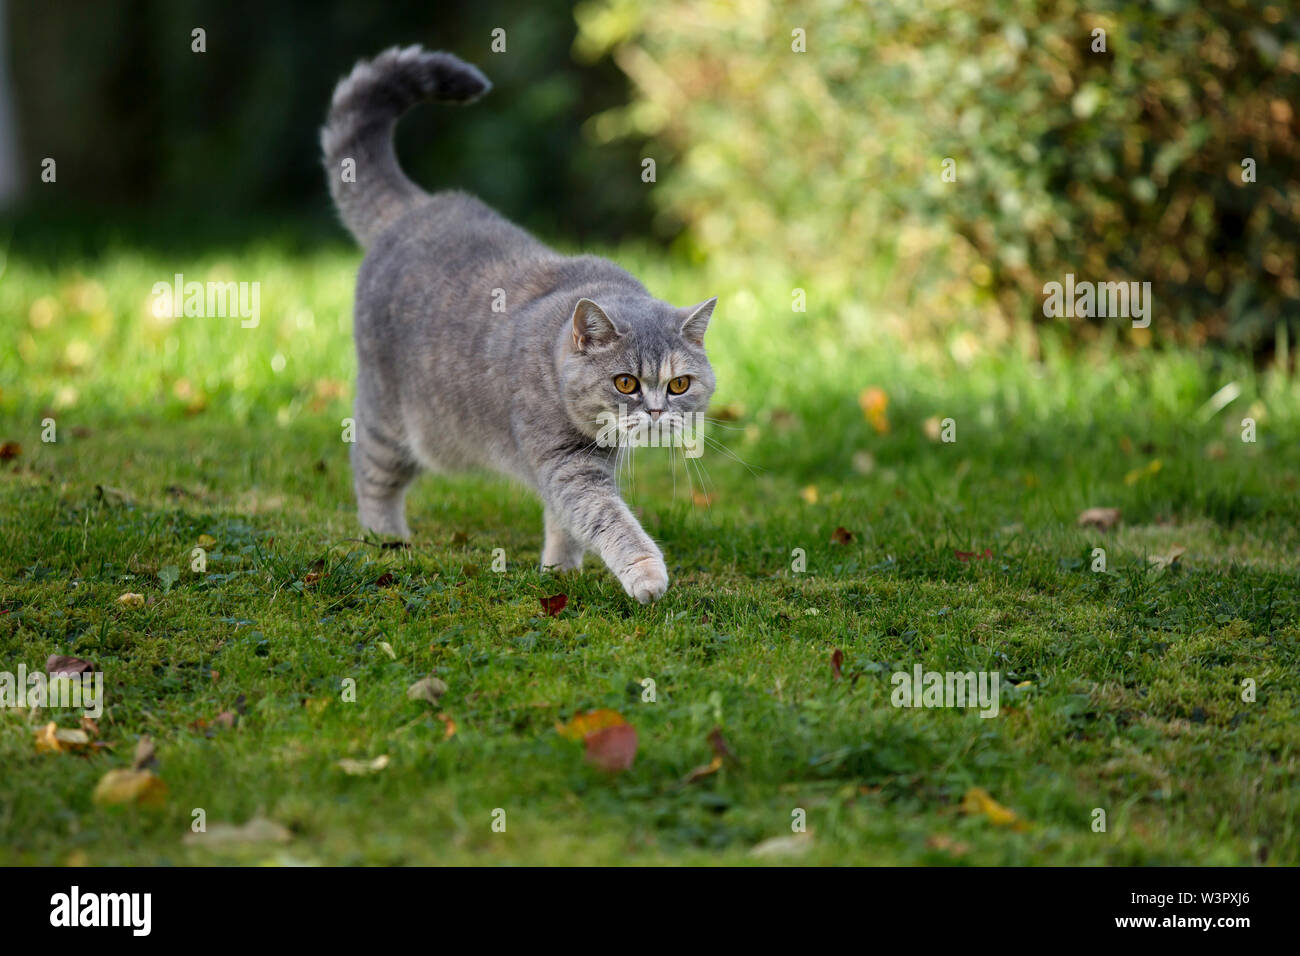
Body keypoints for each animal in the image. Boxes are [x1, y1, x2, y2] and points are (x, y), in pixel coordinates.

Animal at [319, 44, 717, 600]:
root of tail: (416, 208)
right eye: (626, 382)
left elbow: (565, 522)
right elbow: (607, 518)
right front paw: (645, 573)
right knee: (370, 471)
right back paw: (386, 540)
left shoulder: (566, 469)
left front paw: (560, 570)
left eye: (680, 384)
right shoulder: (566, 463)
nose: (658, 412)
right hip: (391, 422)